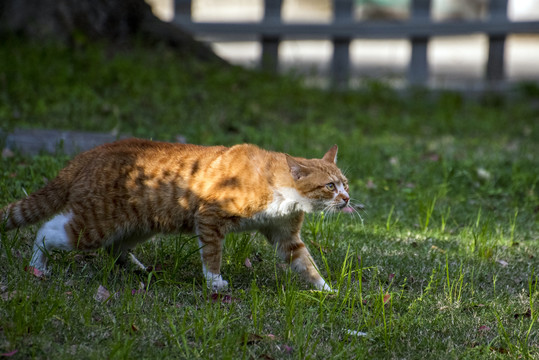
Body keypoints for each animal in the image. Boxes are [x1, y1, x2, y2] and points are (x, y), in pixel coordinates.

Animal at [0, 139, 352, 292]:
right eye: (330, 186)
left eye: (345, 183)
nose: (348, 198)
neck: (278, 190)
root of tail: (88, 154)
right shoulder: (210, 218)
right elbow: (212, 254)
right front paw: (215, 282)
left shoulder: (285, 235)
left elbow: (305, 263)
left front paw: (326, 290)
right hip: (96, 224)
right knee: (49, 231)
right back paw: (38, 266)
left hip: (138, 224)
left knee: (115, 248)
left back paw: (138, 268)